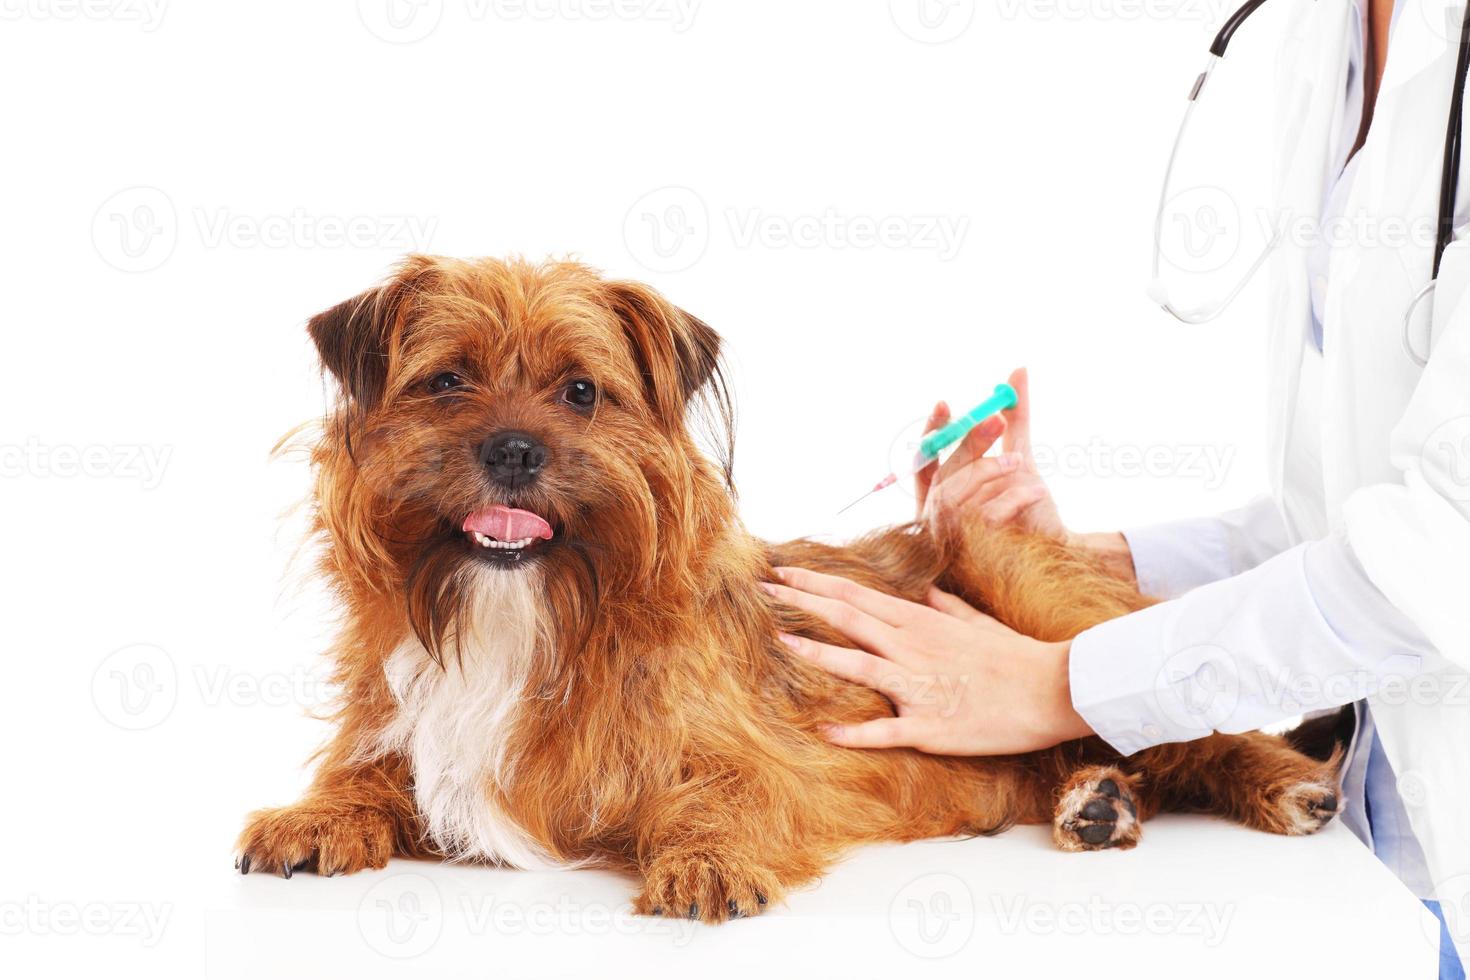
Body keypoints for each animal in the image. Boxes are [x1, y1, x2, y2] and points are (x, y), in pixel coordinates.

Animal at [238, 252, 1346, 922]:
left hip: (1029, 582)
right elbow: (369, 774)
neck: (526, 608)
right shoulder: (412, 729)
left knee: (1180, 715)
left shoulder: (781, 764)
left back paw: (1275, 781)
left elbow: (728, 793)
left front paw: (707, 856)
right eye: (447, 382)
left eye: (581, 391)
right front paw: (314, 814)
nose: (513, 448)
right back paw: (1098, 798)